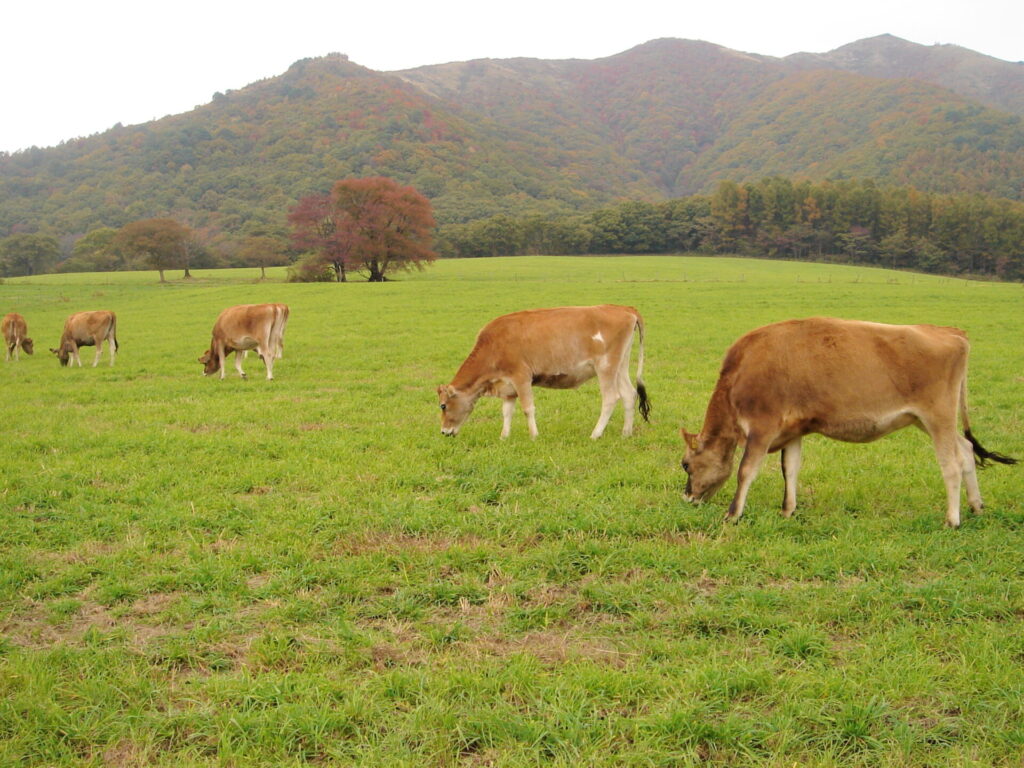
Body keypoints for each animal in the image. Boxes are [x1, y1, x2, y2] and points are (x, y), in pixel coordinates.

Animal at [438, 305, 647, 442]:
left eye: (443, 405)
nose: (443, 431)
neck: (493, 345)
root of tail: (623, 308)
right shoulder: (508, 387)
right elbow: (507, 411)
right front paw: (504, 436)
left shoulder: (521, 376)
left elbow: (527, 408)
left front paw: (534, 435)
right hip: (620, 366)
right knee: (629, 394)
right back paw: (626, 433)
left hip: (605, 366)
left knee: (611, 398)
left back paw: (595, 434)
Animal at [679, 319, 1015, 528]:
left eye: (685, 464)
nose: (687, 497)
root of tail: (950, 332)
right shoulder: (793, 430)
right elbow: (791, 469)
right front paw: (788, 510)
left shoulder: (762, 427)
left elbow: (746, 470)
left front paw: (732, 515)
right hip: (928, 420)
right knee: (967, 449)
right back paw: (976, 506)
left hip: (938, 417)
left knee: (951, 463)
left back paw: (952, 519)